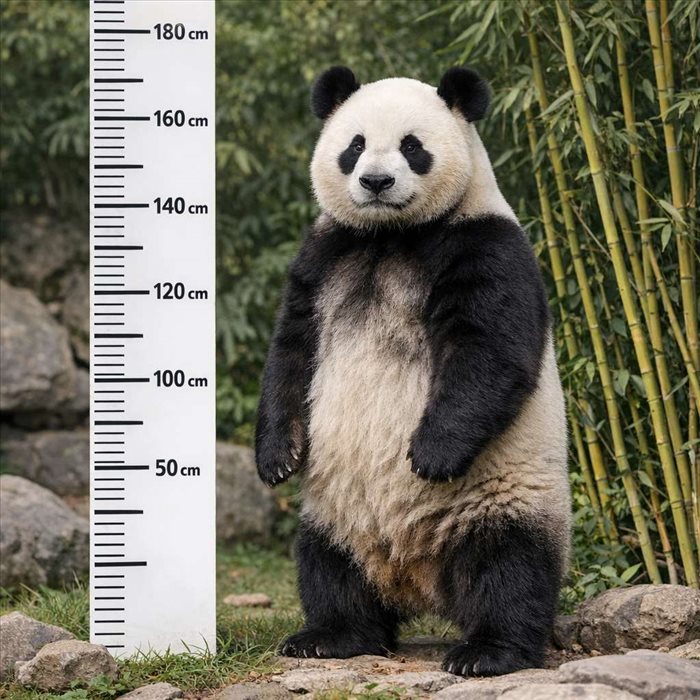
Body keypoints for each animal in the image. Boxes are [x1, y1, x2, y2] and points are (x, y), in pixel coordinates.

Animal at [255, 65, 570, 677]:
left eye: (411, 147)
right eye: (354, 146)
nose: (376, 182)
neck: (392, 234)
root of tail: (415, 576)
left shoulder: (485, 243)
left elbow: (489, 350)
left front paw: (431, 455)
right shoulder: (325, 253)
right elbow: (291, 351)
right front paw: (278, 458)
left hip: (504, 492)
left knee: (510, 568)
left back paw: (488, 651)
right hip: (333, 512)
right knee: (327, 568)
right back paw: (331, 635)